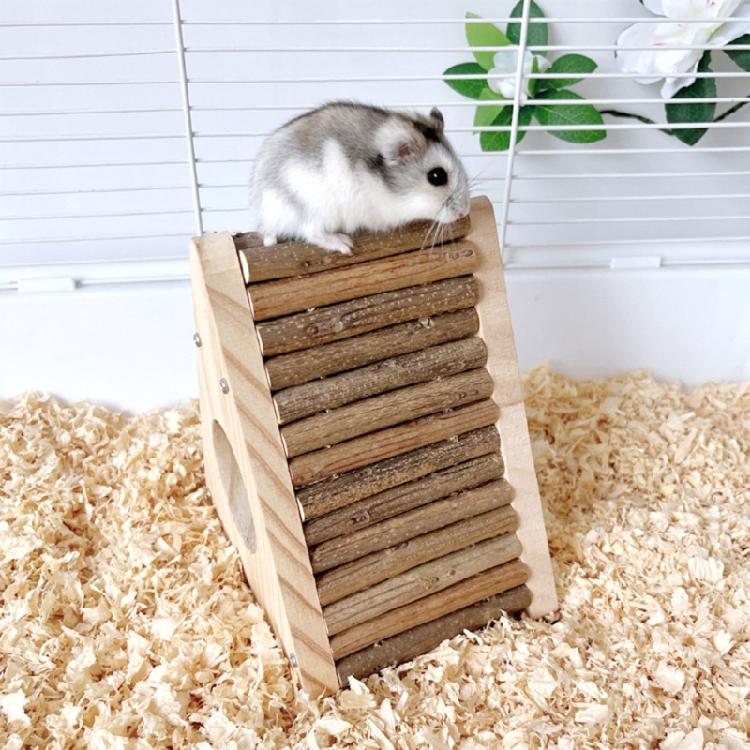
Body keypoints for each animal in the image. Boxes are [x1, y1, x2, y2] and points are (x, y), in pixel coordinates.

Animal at [251, 101, 471, 253]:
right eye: (437, 176)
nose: (464, 213)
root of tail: (265, 214)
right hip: (317, 208)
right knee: (311, 232)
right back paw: (344, 244)